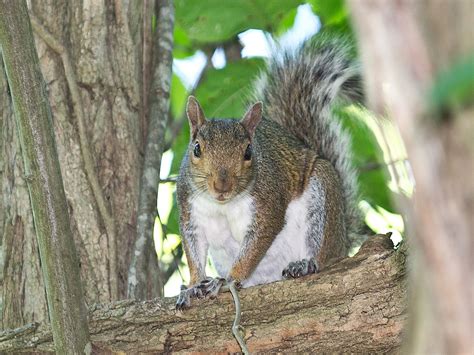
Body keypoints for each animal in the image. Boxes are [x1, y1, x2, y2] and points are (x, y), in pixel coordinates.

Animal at [176, 36, 362, 308]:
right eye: (196, 148)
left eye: (248, 152)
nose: (222, 186)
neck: (223, 204)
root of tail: (342, 240)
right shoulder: (190, 210)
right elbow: (194, 250)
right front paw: (192, 285)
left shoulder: (268, 204)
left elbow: (255, 246)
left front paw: (227, 281)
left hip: (322, 197)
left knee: (322, 252)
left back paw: (306, 264)